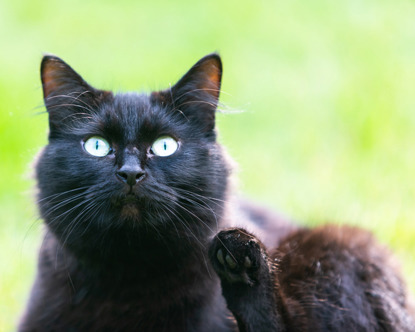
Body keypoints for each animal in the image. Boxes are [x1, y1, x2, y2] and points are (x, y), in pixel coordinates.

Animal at [21, 53, 414, 330]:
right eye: (97, 146)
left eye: (165, 145)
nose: (131, 173)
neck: (127, 273)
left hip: (339, 245)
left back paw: (242, 261)